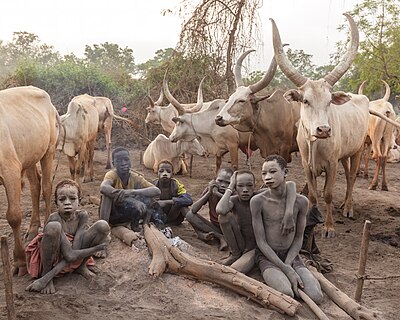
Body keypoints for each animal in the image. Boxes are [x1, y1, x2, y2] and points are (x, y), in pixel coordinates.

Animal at [0, 85, 61, 276]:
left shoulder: (10, 170)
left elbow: (13, 216)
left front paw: (19, 260)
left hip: (48, 151)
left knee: (47, 186)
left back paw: (47, 225)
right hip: (30, 157)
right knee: (36, 185)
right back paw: (33, 227)